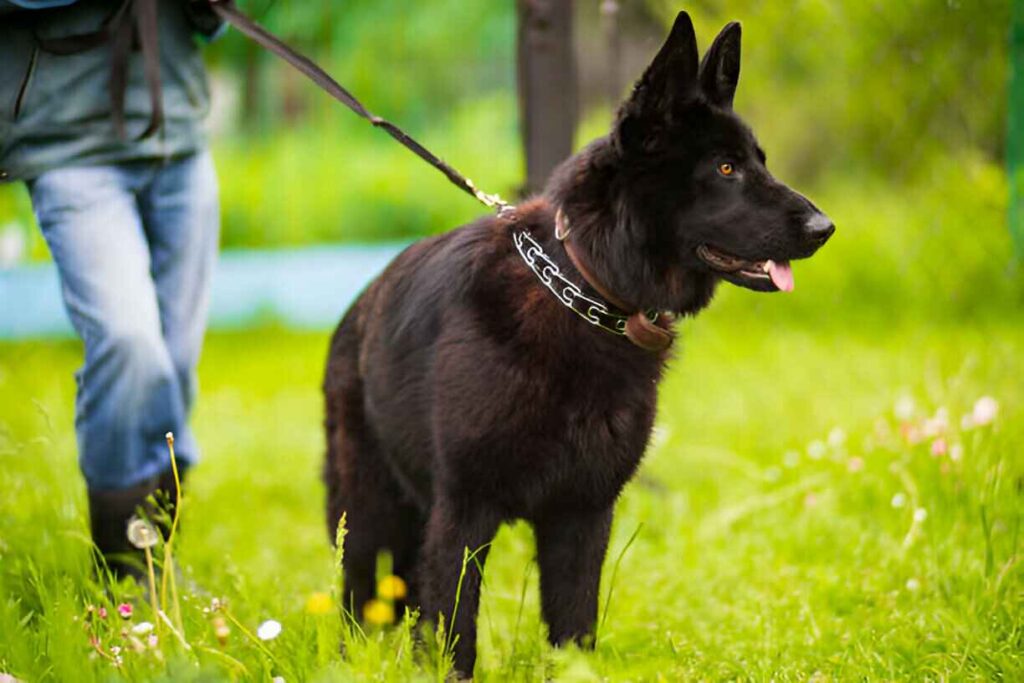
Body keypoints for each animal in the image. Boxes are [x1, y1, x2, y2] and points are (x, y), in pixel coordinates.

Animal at [323, 12, 835, 679]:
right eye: (726, 169)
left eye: (759, 161)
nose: (825, 228)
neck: (583, 290)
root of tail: (355, 308)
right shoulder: (462, 512)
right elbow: (455, 629)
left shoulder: (583, 514)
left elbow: (574, 627)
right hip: (371, 518)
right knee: (358, 604)